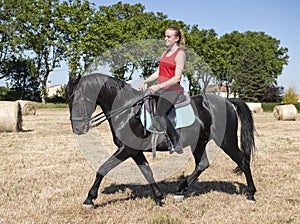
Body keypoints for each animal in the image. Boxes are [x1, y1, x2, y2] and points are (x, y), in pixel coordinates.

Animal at [67, 72, 256, 207]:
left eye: (78, 100)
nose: (77, 129)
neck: (127, 111)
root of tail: (226, 101)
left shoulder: (126, 149)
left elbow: (102, 169)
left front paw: (89, 199)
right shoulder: (134, 151)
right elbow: (148, 173)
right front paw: (159, 197)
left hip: (226, 141)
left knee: (243, 161)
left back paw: (251, 194)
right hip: (199, 142)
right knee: (202, 164)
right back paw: (180, 192)